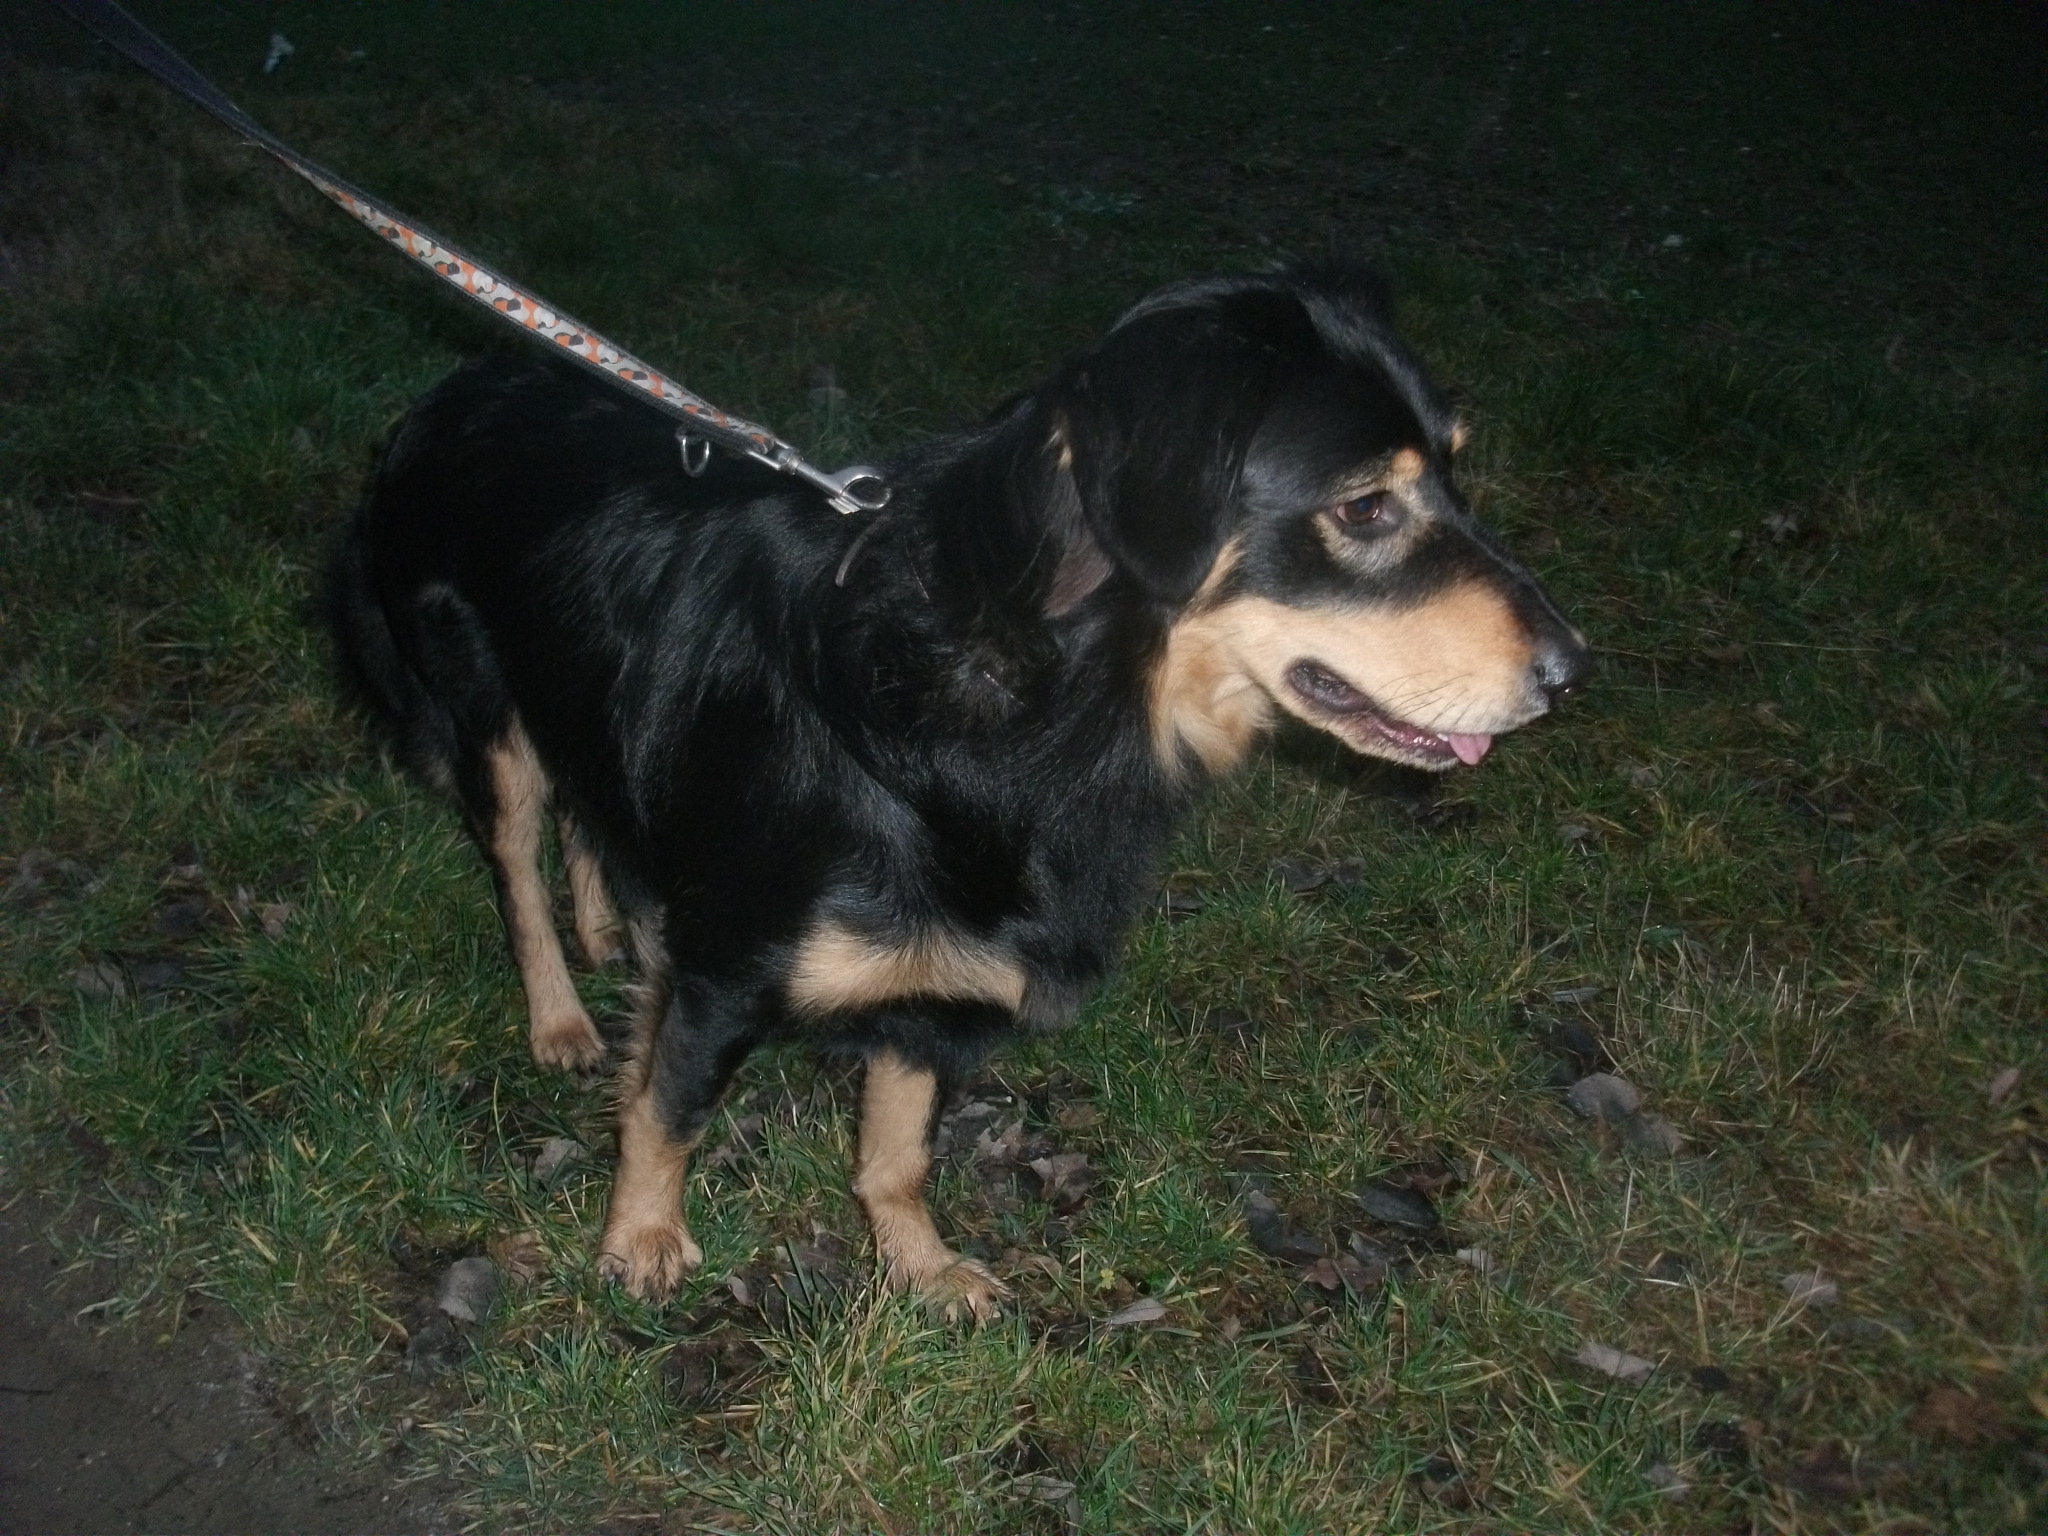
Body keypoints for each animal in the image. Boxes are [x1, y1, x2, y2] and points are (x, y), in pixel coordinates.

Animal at [327, 268, 1589, 1327]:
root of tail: (462, 380)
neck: (1011, 696)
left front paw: (917, 1265)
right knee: (515, 870)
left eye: (1456, 474)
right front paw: (640, 1242)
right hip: (485, 714)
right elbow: (669, 1109)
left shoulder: (940, 978)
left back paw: (611, 930)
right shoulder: (731, 963)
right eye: (1366, 507)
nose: (1571, 672)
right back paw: (558, 1013)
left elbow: (895, 1151)